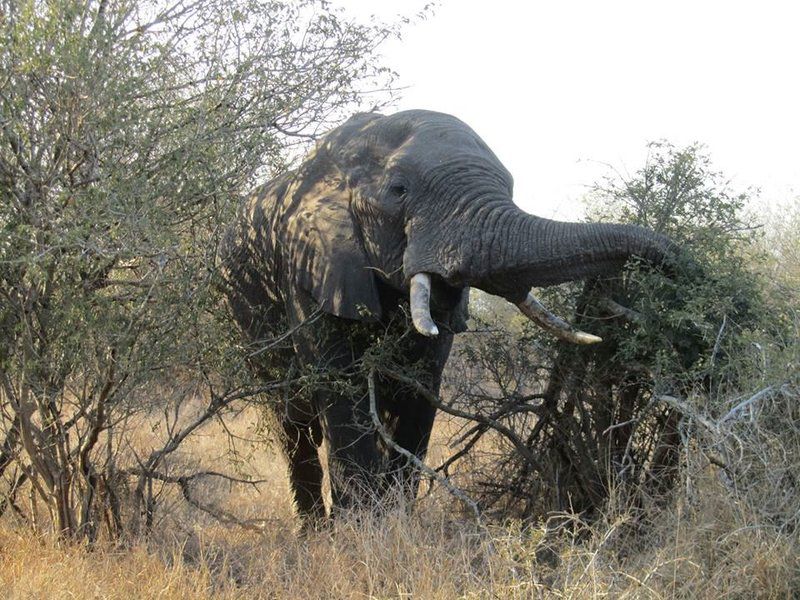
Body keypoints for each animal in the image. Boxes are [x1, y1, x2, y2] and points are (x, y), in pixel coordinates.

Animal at [219, 110, 676, 528]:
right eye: (399, 190)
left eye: (511, 187)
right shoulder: (309, 267)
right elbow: (340, 385)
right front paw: (358, 533)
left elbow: (420, 389)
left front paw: (394, 523)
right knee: (291, 422)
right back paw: (312, 531)